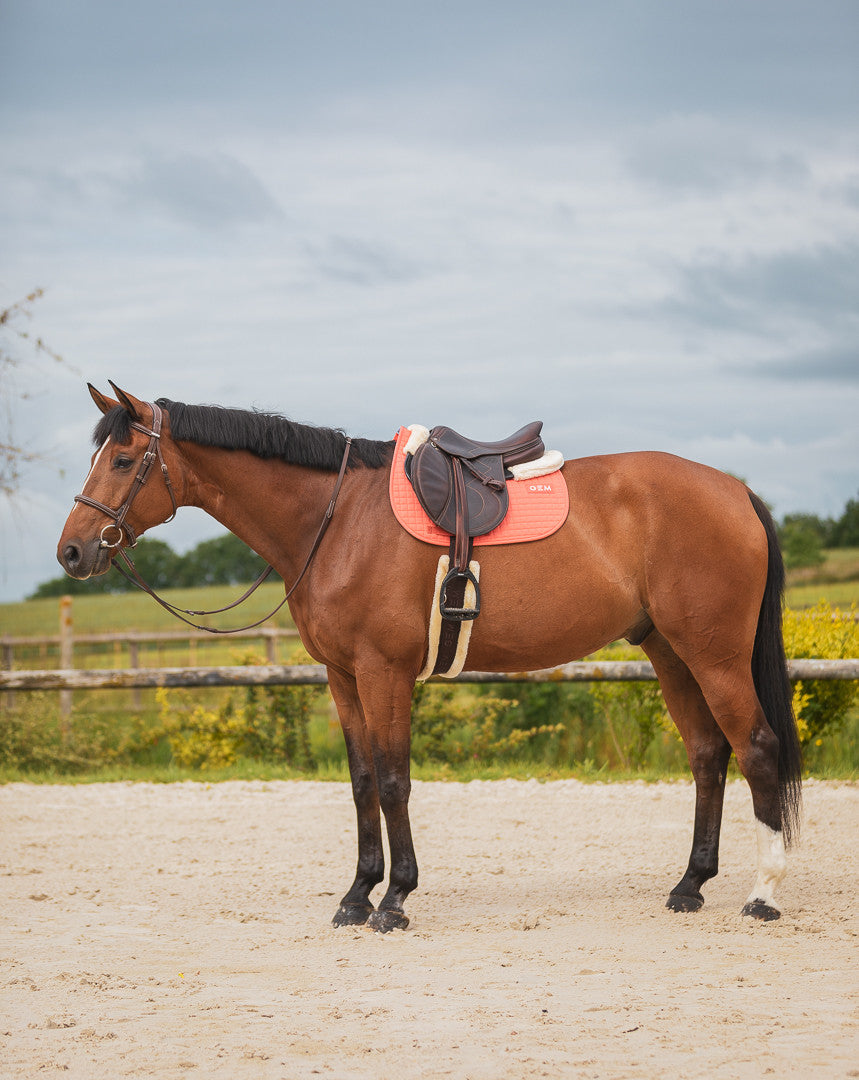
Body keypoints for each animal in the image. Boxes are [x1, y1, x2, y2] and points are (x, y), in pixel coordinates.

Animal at [56, 386, 803, 928]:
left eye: (121, 460)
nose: (71, 551)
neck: (337, 520)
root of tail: (733, 489)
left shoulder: (384, 672)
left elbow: (393, 780)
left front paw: (394, 900)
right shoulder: (342, 677)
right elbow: (361, 781)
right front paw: (356, 895)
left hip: (713, 655)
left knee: (756, 747)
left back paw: (762, 895)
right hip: (670, 653)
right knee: (707, 754)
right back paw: (690, 884)